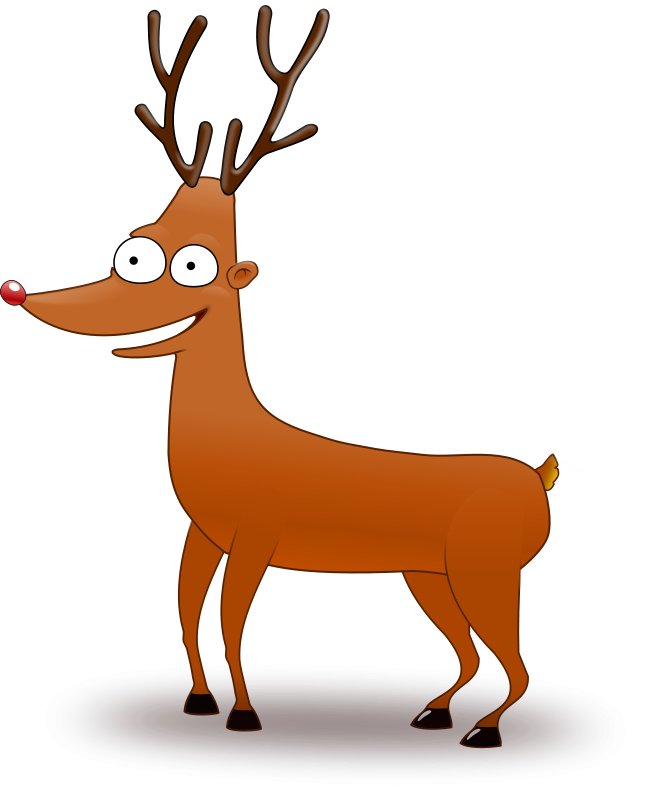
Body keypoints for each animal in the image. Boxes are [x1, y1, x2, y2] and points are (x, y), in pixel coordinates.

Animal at [2, 3, 572, 749]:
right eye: (133, 251)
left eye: (191, 265)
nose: (18, 295)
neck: (232, 434)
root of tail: (540, 476)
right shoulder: (202, 533)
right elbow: (187, 609)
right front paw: (199, 701)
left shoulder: (257, 535)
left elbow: (229, 618)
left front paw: (243, 713)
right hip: (428, 575)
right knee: (473, 654)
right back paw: (436, 712)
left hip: (488, 571)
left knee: (518, 662)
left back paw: (484, 730)